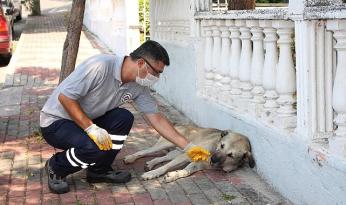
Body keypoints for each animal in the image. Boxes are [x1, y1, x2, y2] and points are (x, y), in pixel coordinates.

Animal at [123, 125, 254, 183]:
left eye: (231, 155)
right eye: (222, 145)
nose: (212, 160)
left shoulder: (198, 164)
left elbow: (186, 171)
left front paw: (174, 175)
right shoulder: (187, 156)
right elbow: (166, 167)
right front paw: (152, 174)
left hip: (177, 152)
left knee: (162, 158)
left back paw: (150, 164)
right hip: (167, 145)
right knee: (145, 151)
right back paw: (131, 158)